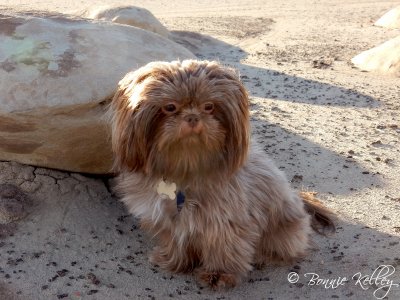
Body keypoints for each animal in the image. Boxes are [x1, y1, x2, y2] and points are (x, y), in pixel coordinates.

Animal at [108, 60, 332, 288]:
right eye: (170, 107)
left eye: (209, 106)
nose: (192, 117)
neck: (186, 168)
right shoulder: (169, 219)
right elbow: (175, 240)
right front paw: (175, 261)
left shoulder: (225, 221)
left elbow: (224, 247)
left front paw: (219, 274)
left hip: (283, 228)